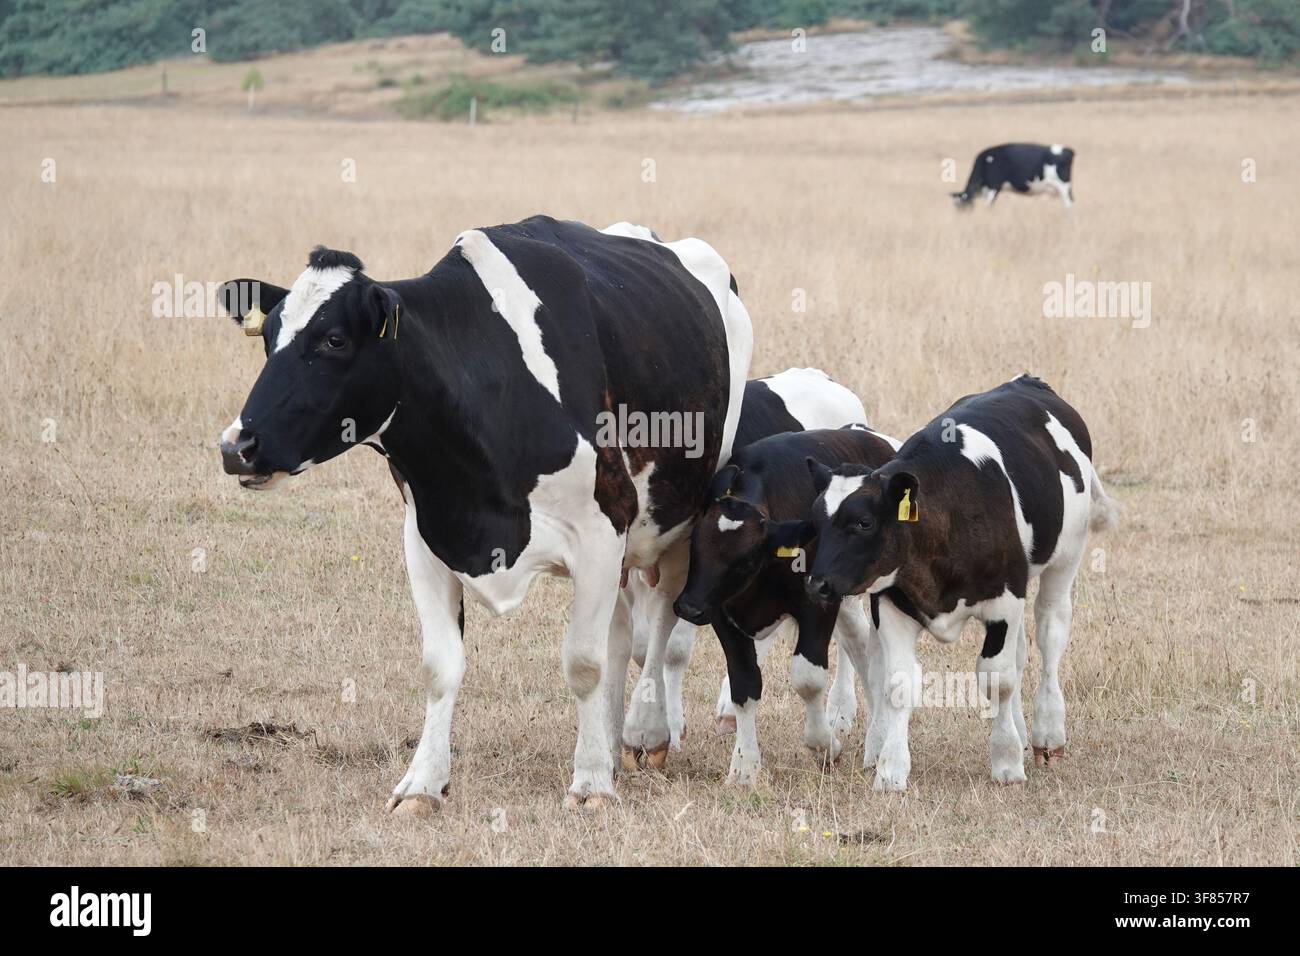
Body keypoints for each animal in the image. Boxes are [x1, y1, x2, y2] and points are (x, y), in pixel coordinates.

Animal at [216, 216, 752, 813]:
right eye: (268, 338)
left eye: (333, 339)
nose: (237, 446)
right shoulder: (425, 535)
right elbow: (440, 666)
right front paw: (423, 784)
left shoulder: (602, 527)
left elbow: (584, 663)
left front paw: (590, 784)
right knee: (622, 635)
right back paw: (612, 741)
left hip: (682, 517)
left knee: (658, 629)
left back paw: (645, 731)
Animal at [672, 424, 901, 785]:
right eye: (695, 544)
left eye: (745, 560)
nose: (689, 608)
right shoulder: (722, 613)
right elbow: (744, 684)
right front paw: (744, 768)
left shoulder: (817, 605)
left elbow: (808, 678)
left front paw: (824, 746)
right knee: (860, 647)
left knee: (876, 659)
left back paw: (877, 743)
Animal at [802, 375, 1118, 791]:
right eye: (815, 521)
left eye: (863, 522)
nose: (817, 584)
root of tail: (1027, 381)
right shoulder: (891, 604)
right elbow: (899, 684)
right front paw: (891, 769)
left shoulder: (1004, 602)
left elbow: (996, 679)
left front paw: (1006, 761)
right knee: (1021, 654)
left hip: (1064, 561)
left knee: (1050, 634)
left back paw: (1047, 734)